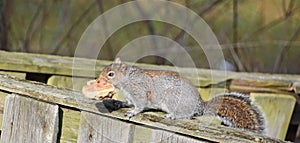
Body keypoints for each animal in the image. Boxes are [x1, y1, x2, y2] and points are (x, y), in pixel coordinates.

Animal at [92, 57, 264, 134]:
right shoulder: (129, 96)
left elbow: (140, 105)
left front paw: (133, 112)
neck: (127, 80)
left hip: (172, 99)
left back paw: (173, 115)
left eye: (110, 74)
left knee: (188, 115)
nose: (99, 79)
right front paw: (120, 103)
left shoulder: (139, 92)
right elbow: (128, 102)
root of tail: (199, 105)